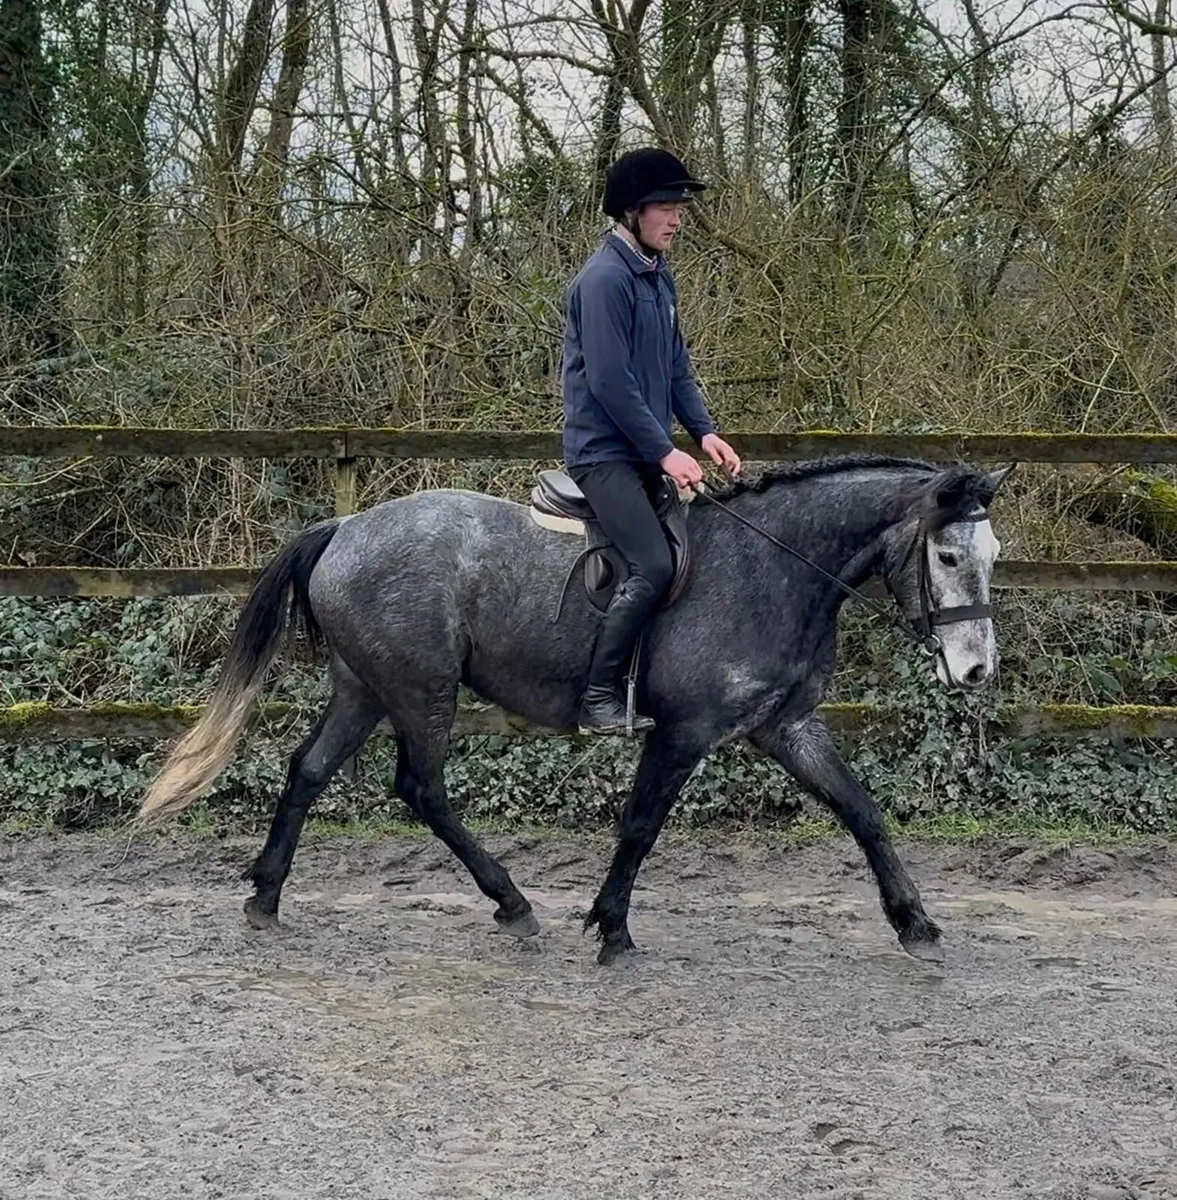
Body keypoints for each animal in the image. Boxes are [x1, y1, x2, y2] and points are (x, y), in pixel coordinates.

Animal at [136, 453, 1012, 965]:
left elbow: (861, 811)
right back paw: (513, 904)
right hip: (420, 691)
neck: (774, 568)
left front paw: (913, 922)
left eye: (991, 554)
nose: (974, 670)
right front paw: (613, 930)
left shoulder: (784, 726)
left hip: (365, 688)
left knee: (309, 770)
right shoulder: (683, 733)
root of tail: (347, 526)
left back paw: (266, 897)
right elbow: (640, 826)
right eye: (945, 555)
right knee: (422, 789)